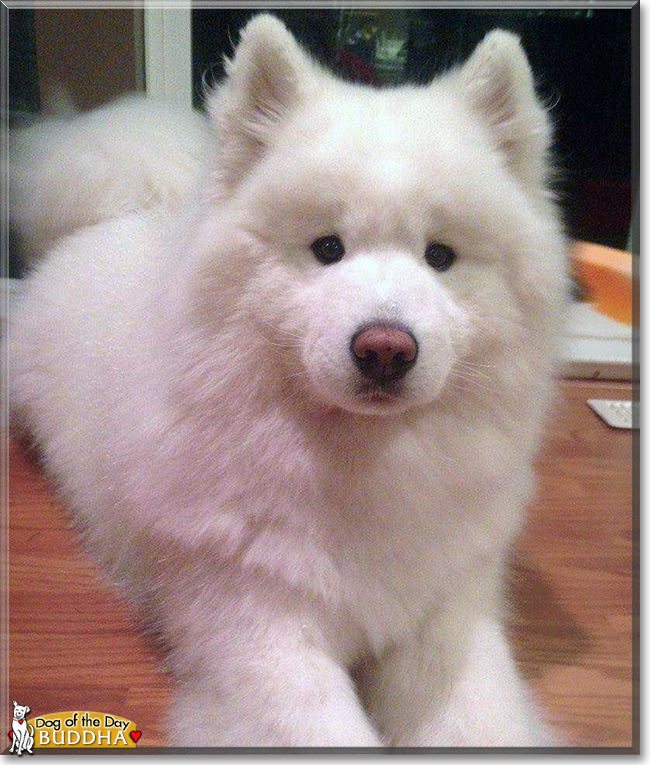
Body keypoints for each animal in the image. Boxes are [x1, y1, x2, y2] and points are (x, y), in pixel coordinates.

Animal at [11, 13, 568, 748]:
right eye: (326, 248)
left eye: (441, 256)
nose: (385, 349)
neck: (364, 468)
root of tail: (121, 212)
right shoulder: (260, 630)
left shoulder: (446, 617)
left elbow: (480, 722)